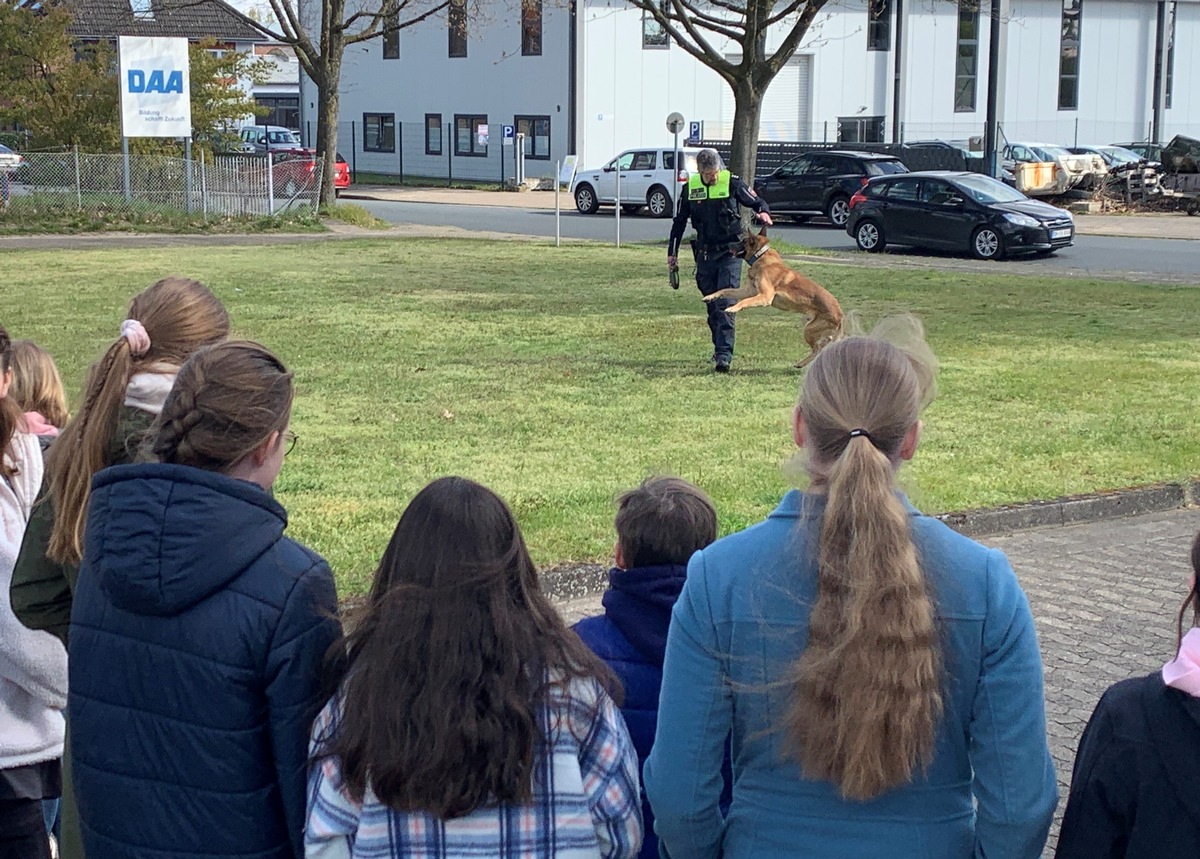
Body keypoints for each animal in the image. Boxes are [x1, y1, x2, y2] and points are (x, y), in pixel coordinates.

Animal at [700, 226, 844, 367]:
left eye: (743, 241)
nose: (727, 245)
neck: (760, 255)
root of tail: (840, 315)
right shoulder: (747, 291)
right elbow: (725, 290)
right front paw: (710, 297)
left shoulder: (764, 296)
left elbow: (744, 301)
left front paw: (732, 309)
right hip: (808, 323)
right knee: (825, 342)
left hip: (808, 329)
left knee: (818, 348)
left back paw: (801, 363)